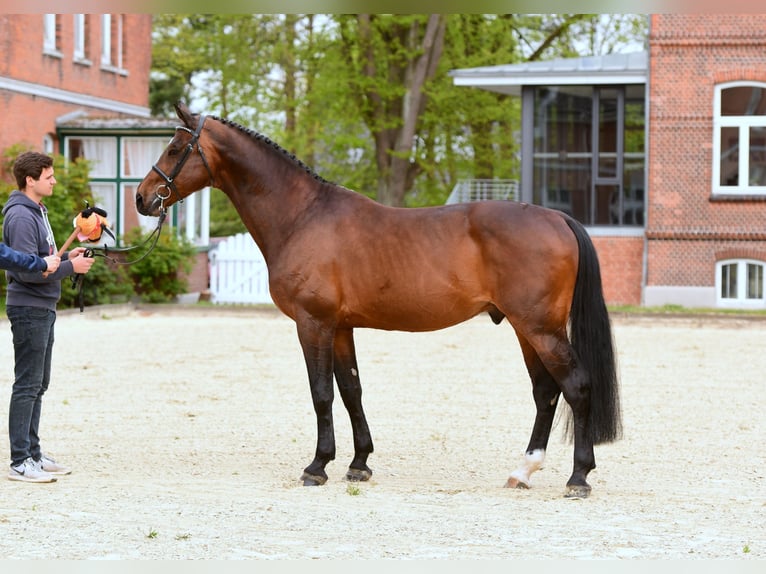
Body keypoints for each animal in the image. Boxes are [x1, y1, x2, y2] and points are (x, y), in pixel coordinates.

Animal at [138, 101, 624, 498]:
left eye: (175, 147)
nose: (143, 198)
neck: (302, 216)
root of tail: (557, 218)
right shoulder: (341, 327)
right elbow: (351, 390)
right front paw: (358, 464)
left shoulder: (312, 323)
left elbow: (321, 394)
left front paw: (317, 466)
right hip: (527, 328)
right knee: (545, 392)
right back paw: (522, 471)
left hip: (540, 328)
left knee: (575, 386)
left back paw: (578, 478)